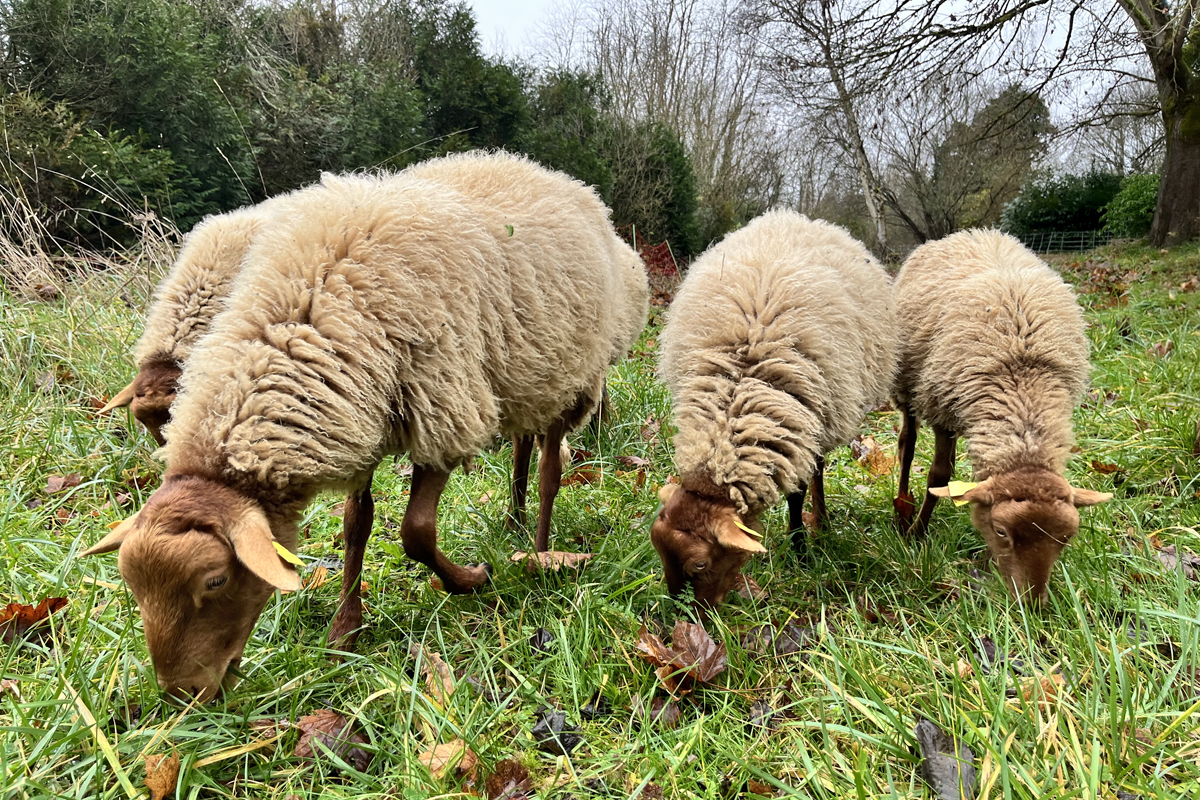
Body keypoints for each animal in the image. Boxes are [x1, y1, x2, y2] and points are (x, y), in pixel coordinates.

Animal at [82, 150, 650, 700]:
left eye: (215, 582)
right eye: (133, 587)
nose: (182, 696)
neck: (310, 312)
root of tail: (550, 174)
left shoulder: (443, 407)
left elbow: (416, 533)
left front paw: (471, 579)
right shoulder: (357, 416)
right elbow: (357, 525)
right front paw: (345, 631)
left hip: (574, 374)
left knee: (551, 467)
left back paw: (540, 550)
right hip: (524, 378)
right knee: (522, 450)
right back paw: (514, 518)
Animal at [651, 211, 898, 606]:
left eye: (700, 564)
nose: (686, 614)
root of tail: (788, 216)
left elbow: (797, 493)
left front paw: (799, 548)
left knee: (817, 470)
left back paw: (821, 523)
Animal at [892, 229, 1110, 602]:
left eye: (1066, 537)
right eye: (1001, 531)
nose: (1032, 605)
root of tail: (972, 232)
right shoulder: (942, 408)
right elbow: (938, 475)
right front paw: (917, 534)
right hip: (909, 384)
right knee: (907, 442)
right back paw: (903, 504)